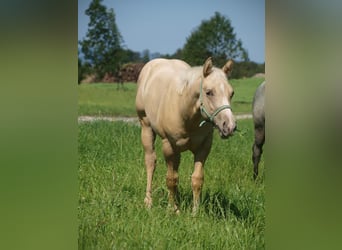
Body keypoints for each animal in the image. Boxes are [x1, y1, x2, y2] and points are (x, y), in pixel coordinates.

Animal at [135, 57, 236, 212]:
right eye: (209, 92)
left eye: (231, 93)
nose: (229, 126)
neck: (184, 112)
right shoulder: (169, 147)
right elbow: (171, 179)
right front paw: (173, 209)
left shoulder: (204, 147)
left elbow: (197, 178)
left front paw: (195, 211)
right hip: (146, 127)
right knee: (151, 162)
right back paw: (148, 201)